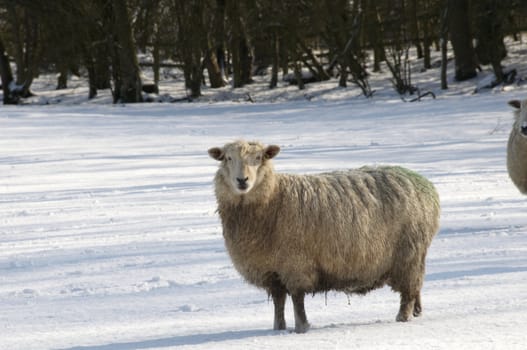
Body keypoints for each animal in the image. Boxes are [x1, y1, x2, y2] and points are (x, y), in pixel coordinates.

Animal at [208, 140, 440, 334]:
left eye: (259, 157)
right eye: (228, 158)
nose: (242, 181)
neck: (274, 199)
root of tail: (424, 184)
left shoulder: (296, 265)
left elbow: (297, 300)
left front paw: (301, 328)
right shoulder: (271, 271)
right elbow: (278, 302)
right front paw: (278, 328)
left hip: (408, 253)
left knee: (408, 290)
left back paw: (403, 317)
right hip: (414, 256)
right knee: (416, 285)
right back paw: (417, 311)